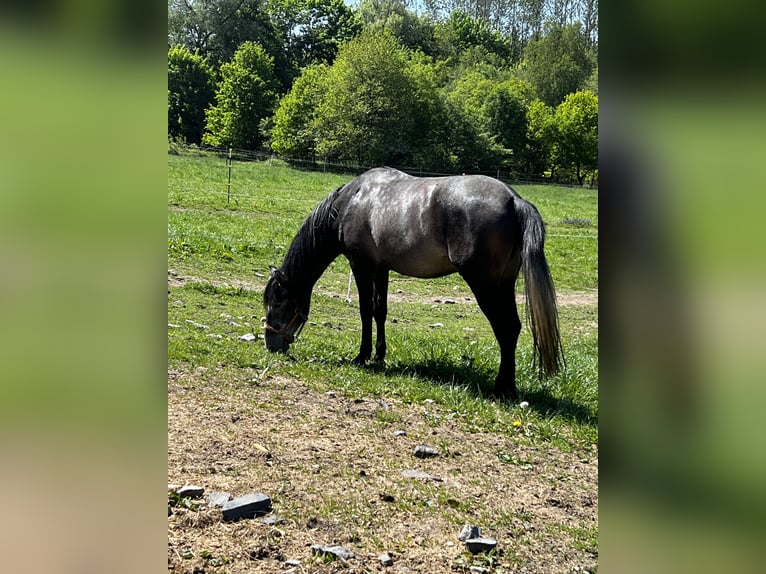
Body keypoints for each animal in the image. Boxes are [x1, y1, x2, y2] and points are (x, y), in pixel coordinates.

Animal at [263, 167, 562, 400]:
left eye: (277, 302)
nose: (270, 344)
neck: (351, 201)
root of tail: (514, 200)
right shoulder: (381, 269)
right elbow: (379, 311)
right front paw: (379, 355)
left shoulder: (361, 266)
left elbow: (364, 311)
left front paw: (362, 356)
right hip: (504, 284)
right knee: (513, 328)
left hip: (486, 285)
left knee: (506, 328)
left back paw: (503, 388)